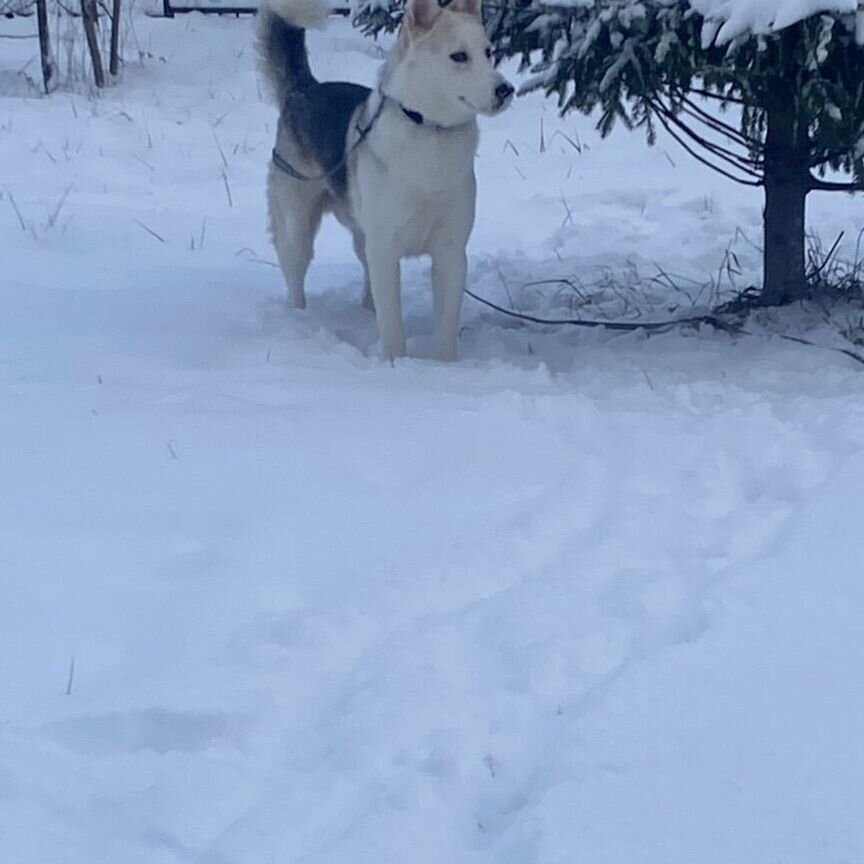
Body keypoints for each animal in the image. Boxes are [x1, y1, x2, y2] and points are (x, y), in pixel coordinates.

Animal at [256, 0, 512, 362]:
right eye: (459, 56)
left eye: (488, 52)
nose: (506, 90)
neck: (429, 129)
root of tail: (304, 90)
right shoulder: (385, 250)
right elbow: (392, 326)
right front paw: (395, 365)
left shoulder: (450, 253)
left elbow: (446, 327)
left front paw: (447, 368)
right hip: (298, 231)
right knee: (295, 280)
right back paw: (299, 320)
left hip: (362, 237)